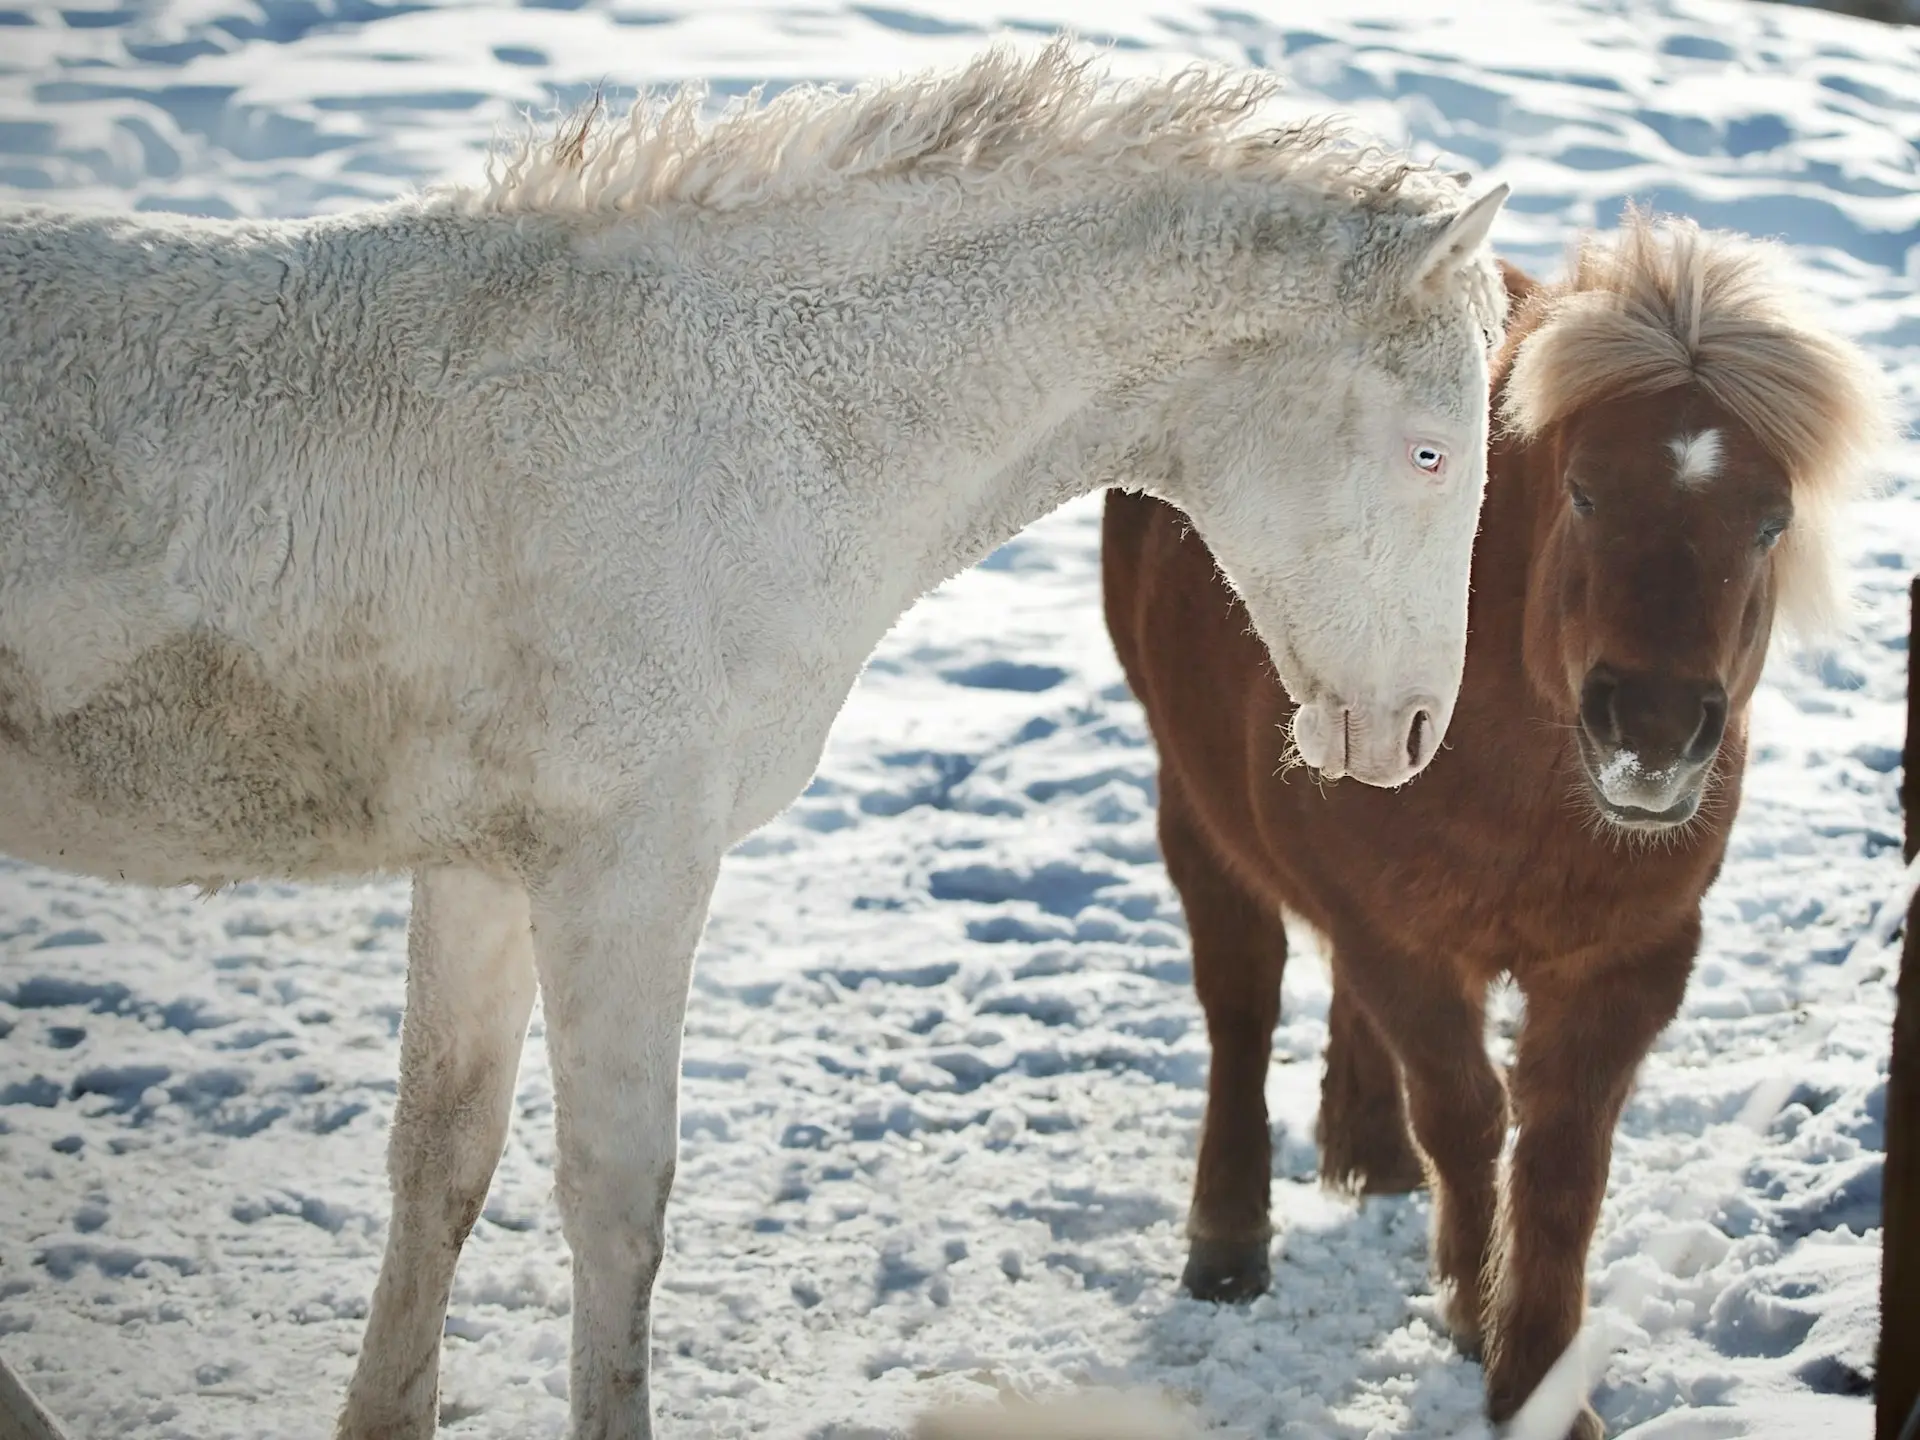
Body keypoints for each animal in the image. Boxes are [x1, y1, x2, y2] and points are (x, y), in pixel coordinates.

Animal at [0, 40, 1510, 1440]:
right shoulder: (627, 869)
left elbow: (442, 1164)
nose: (1411, 731)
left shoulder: (486, 865)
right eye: (1432, 452)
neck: (747, 417)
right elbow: (616, 1203)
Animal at [1101, 210, 1890, 1440]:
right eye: (1583, 493)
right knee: (1244, 998)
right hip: (1193, 800)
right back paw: (1230, 1235)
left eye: (1771, 523)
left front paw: (1540, 1379)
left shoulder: (1632, 959)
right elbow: (1468, 1119)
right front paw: (1476, 1315)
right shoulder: (1404, 944)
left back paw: (1367, 1149)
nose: (1652, 731)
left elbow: (1564, 1156)